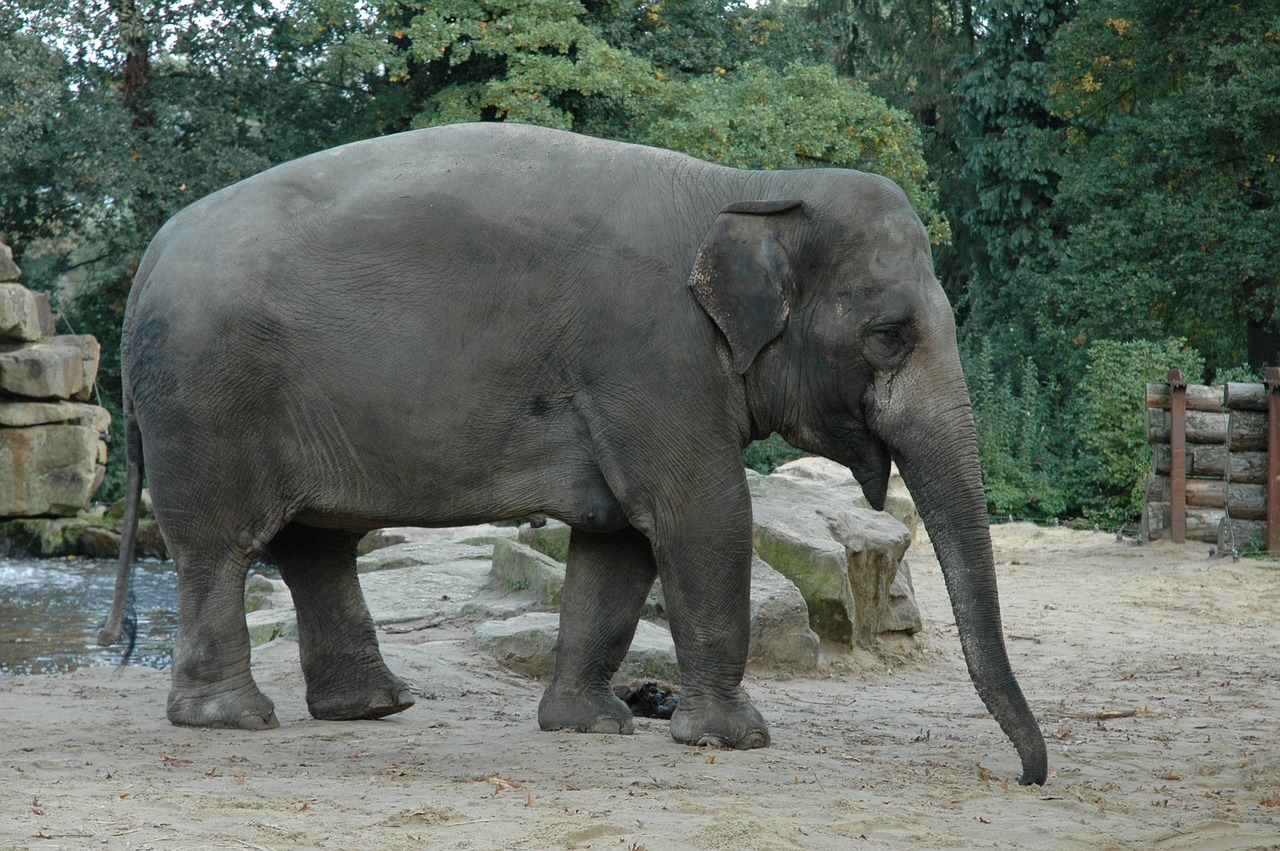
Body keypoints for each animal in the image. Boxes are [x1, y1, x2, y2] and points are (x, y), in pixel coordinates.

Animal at [94, 119, 1044, 783]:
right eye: (889, 335)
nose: (1027, 776)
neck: (751, 188)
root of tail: (148, 257)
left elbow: (619, 541)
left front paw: (589, 725)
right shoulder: (652, 354)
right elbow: (700, 513)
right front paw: (734, 740)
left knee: (314, 544)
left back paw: (372, 707)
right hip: (208, 399)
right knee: (221, 546)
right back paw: (233, 718)